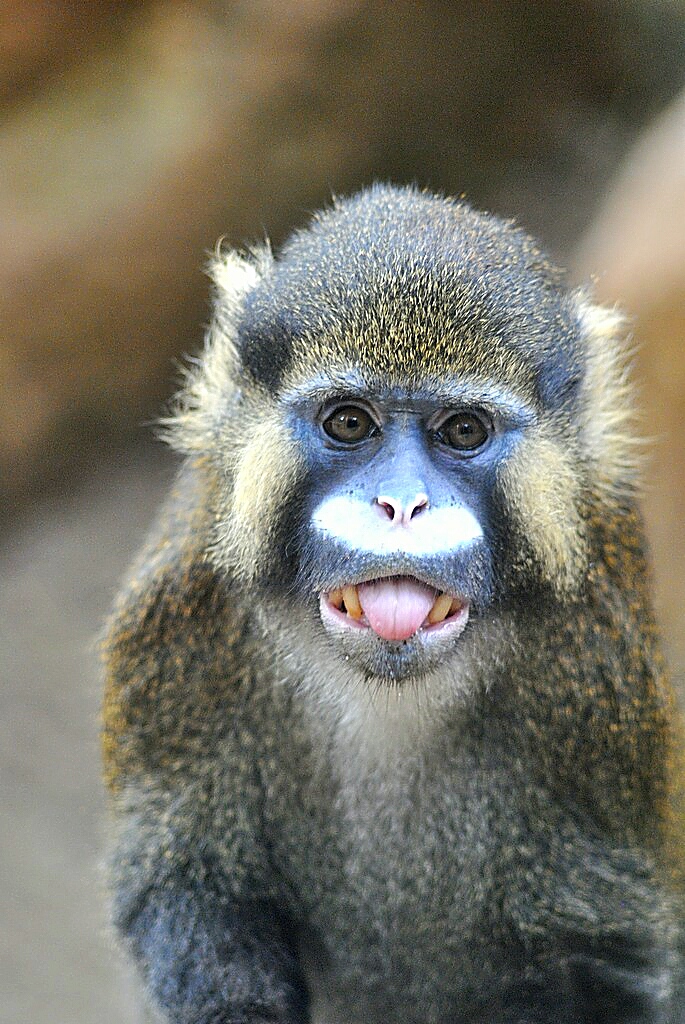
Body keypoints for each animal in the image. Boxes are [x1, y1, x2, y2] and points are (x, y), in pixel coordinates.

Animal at [102, 183, 685, 1024]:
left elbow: (594, 962)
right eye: (349, 421)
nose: (402, 504)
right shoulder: (183, 623)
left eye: (463, 430)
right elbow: (192, 890)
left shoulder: (594, 687)